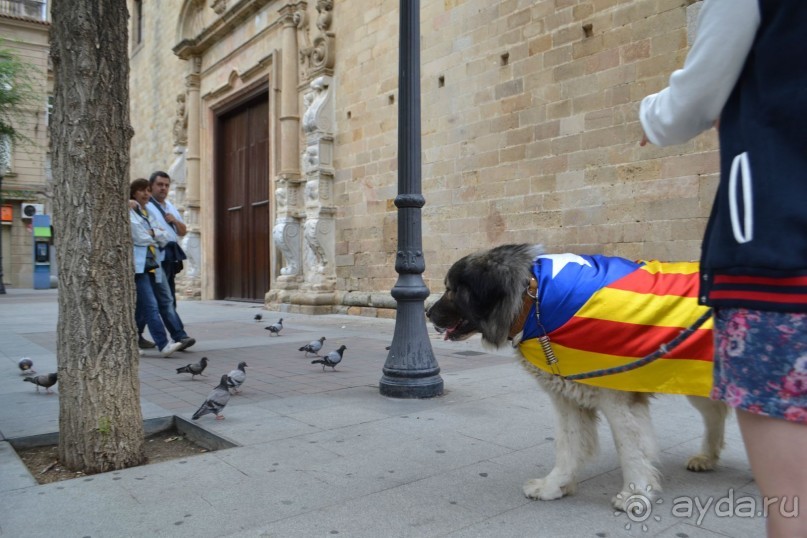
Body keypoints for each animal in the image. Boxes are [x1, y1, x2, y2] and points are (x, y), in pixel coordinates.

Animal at [430, 245, 732, 508]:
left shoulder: (619, 399)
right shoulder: (567, 396)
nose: (427, 311)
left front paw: (634, 494)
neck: (534, 300)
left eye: (451, 290)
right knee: (715, 414)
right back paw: (707, 457)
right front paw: (554, 486)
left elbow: (630, 449)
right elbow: (568, 444)